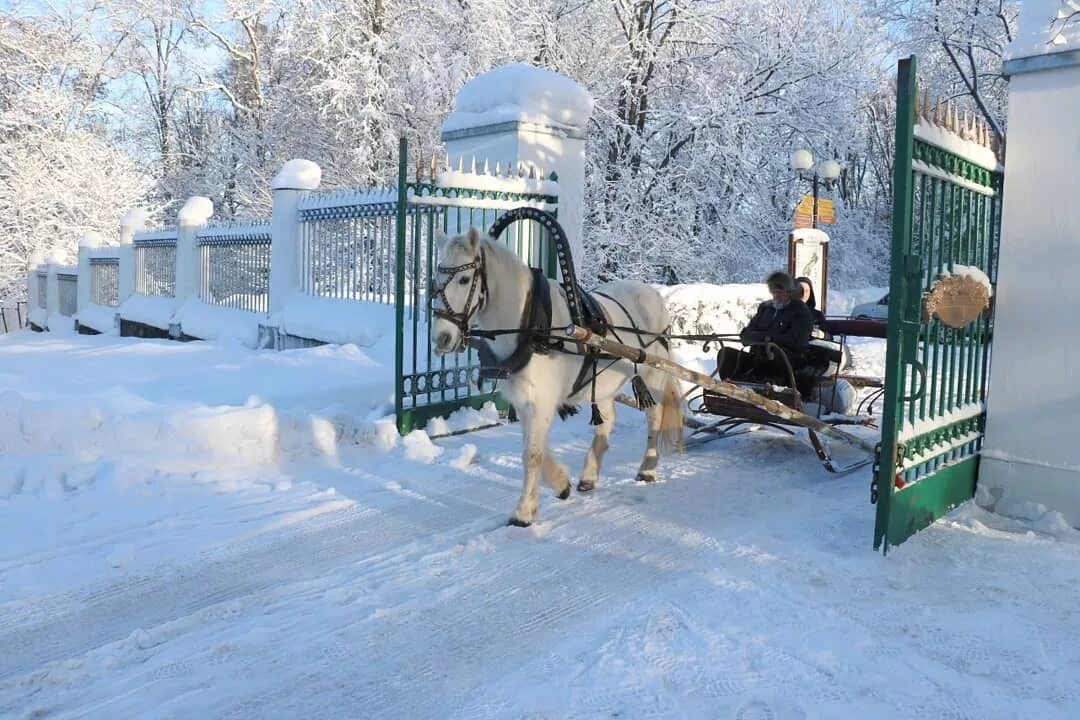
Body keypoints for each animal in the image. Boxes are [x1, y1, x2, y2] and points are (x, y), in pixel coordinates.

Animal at [429, 227, 682, 526]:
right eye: (435, 281)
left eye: (465, 279)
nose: (441, 339)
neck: (531, 325)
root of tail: (652, 293)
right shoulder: (525, 401)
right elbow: (533, 448)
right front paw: (561, 483)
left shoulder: (542, 402)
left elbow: (532, 453)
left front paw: (523, 512)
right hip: (602, 384)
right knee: (607, 420)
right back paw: (589, 476)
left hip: (652, 377)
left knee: (654, 417)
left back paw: (648, 468)